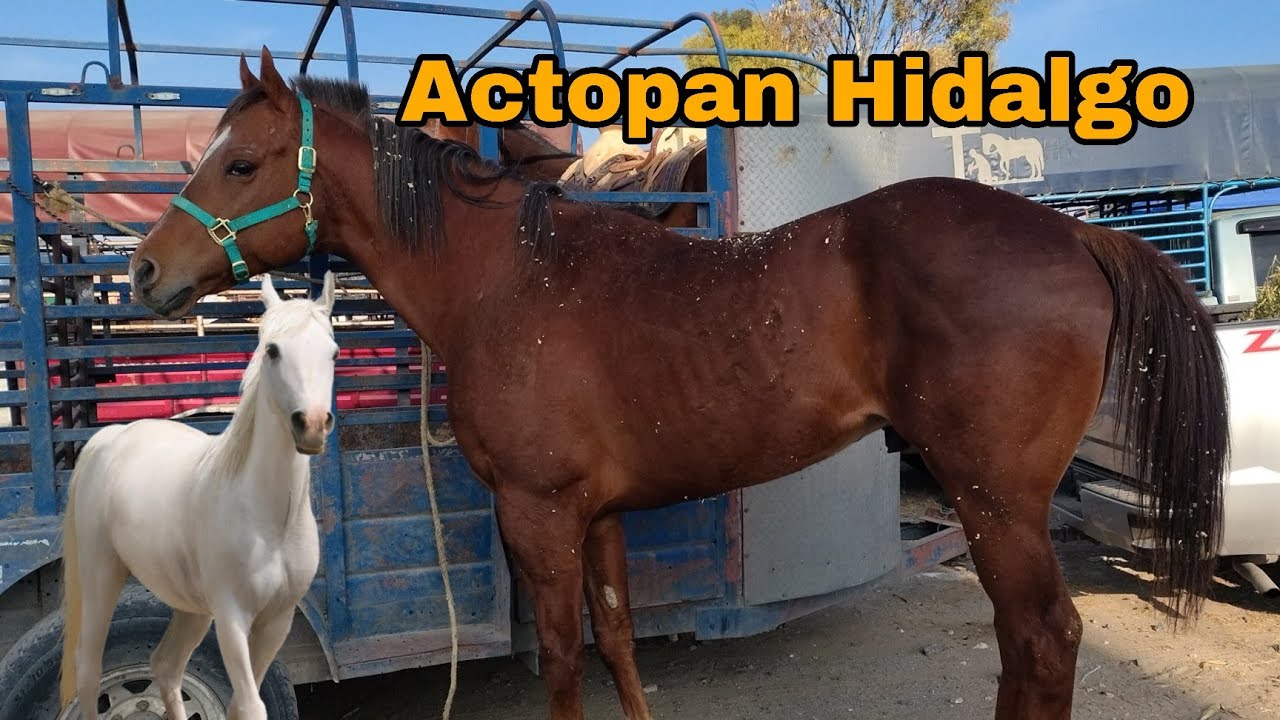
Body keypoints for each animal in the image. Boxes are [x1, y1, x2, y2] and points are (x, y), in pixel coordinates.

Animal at [59, 272, 339, 720]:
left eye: (333, 352)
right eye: (272, 350)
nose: (311, 425)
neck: (268, 519)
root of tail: (111, 437)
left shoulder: (276, 621)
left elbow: (239, 705)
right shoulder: (231, 617)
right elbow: (251, 705)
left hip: (190, 609)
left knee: (166, 667)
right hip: (101, 573)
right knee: (88, 668)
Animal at [126, 49, 1229, 720]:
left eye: (243, 163)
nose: (143, 271)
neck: (504, 279)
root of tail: (1073, 233)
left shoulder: (537, 513)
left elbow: (562, 660)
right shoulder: (599, 513)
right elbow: (616, 640)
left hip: (995, 499)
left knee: (1043, 639)